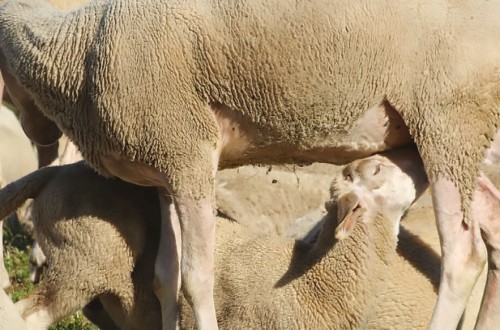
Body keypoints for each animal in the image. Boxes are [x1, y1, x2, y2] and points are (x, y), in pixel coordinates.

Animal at [0, 0, 500, 328]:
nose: (38, 136)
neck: (77, 49)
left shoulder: (188, 155)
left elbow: (196, 278)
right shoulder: (166, 170)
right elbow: (165, 277)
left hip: (448, 119)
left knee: (463, 256)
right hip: (463, 139)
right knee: (492, 232)